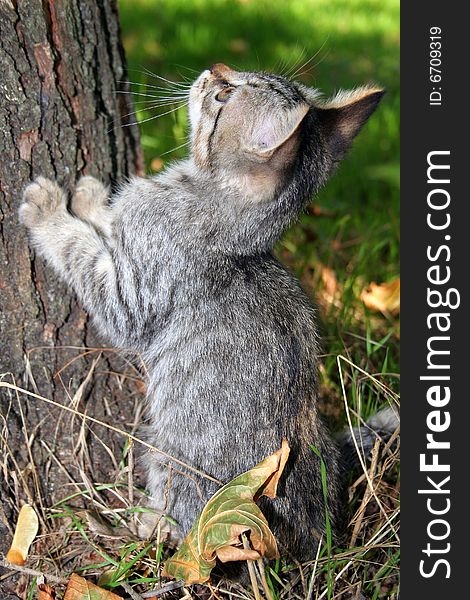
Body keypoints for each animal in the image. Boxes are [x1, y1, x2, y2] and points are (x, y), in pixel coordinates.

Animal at [19, 63, 386, 560]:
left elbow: (79, 249)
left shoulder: (128, 295)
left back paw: (145, 523)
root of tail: (312, 536)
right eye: (234, 78)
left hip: (168, 458)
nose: (216, 69)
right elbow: (108, 224)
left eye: (224, 95)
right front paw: (97, 197)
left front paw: (51, 209)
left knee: (178, 525)